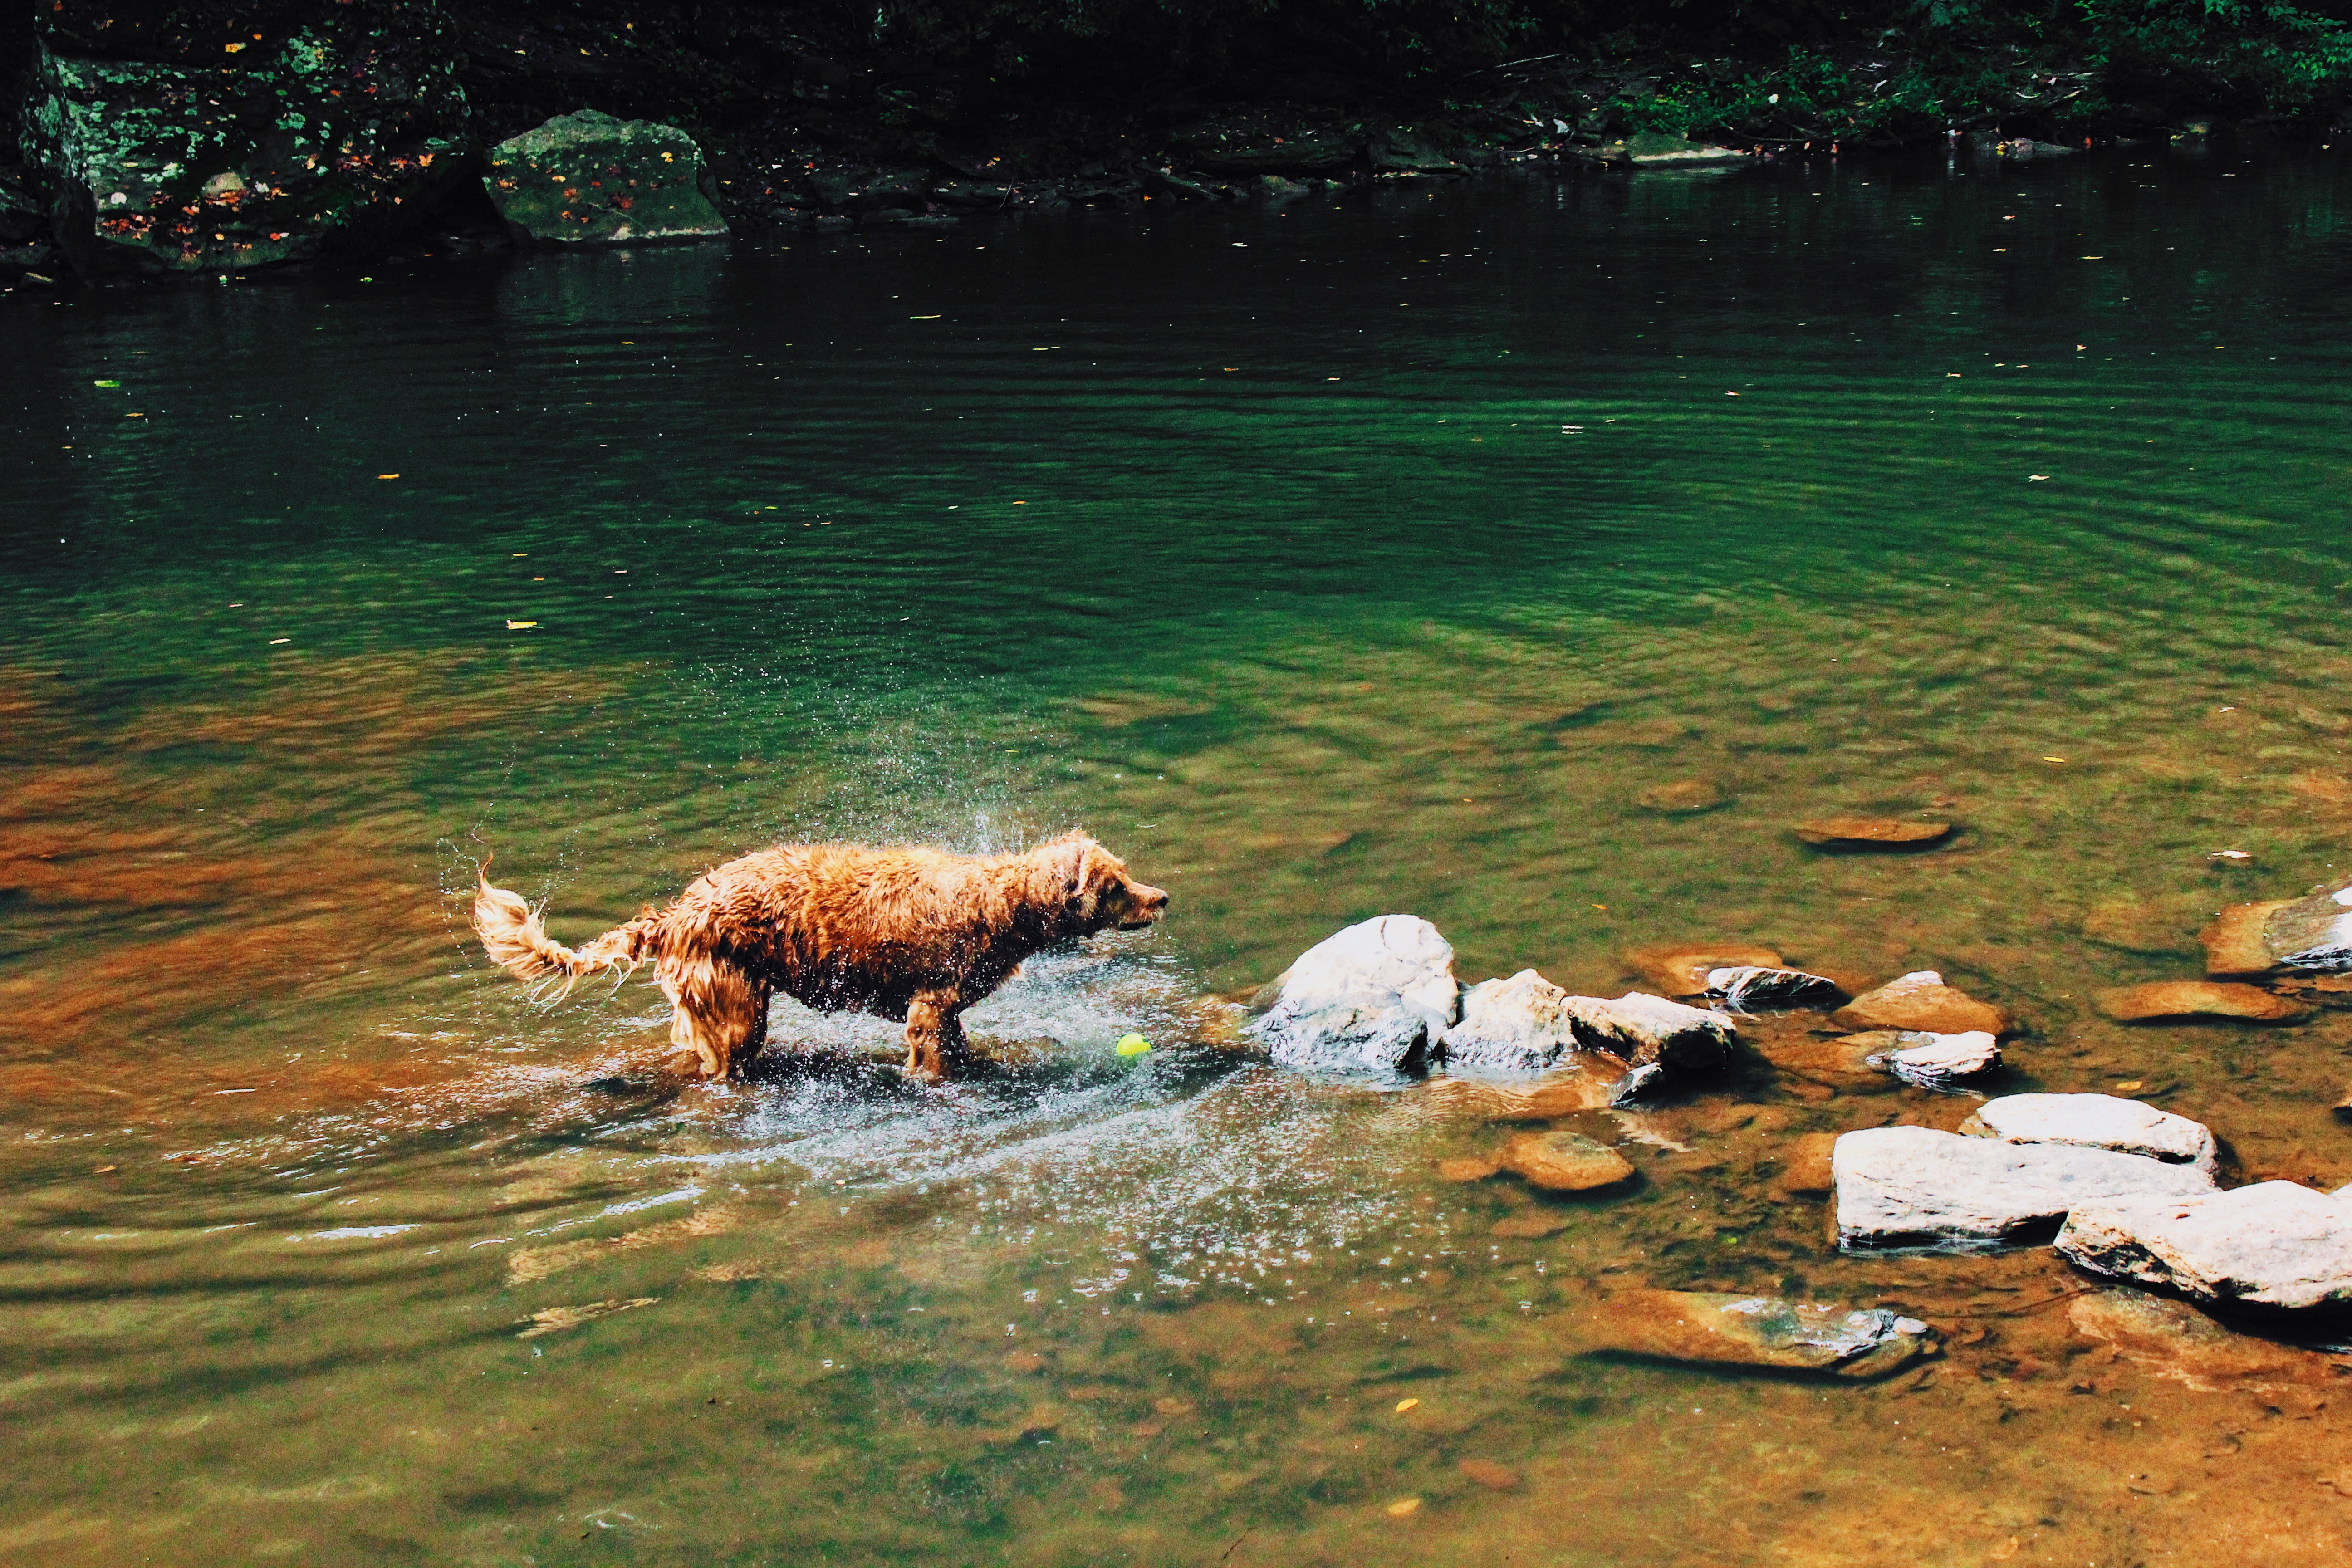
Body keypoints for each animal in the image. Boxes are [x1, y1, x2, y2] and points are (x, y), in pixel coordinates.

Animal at [468, 841, 1166, 1086]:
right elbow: (932, 1063)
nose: (1161, 898)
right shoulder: (928, 1007)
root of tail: (675, 914)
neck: (1000, 900)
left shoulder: (944, 1013)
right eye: (1115, 887)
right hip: (738, 1011)